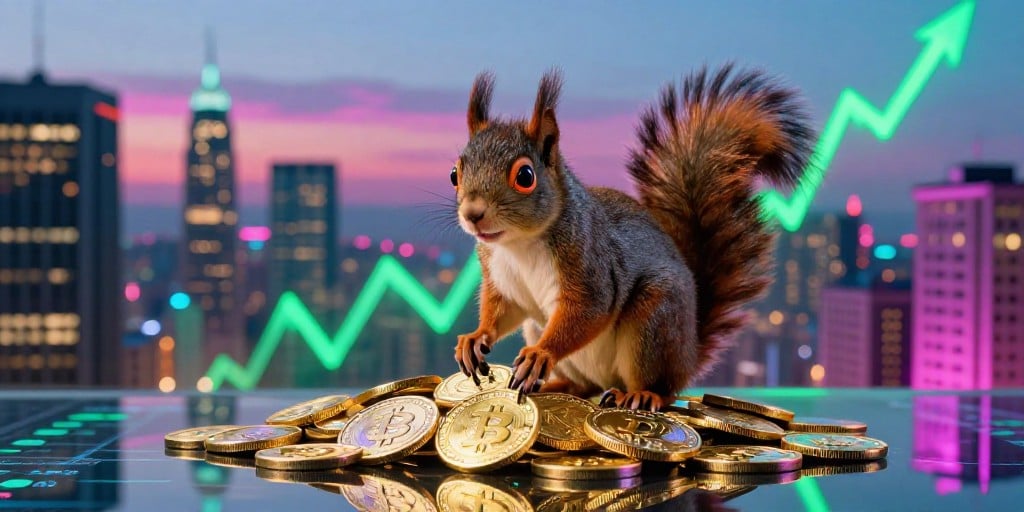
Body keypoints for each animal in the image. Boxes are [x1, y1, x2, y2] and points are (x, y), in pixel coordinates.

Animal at [451, 64, 815, 411]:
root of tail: (690, 353)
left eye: (525, 176)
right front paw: (475, 338)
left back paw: (641, 395)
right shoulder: (499, 274)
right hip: (542, 327)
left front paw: (542, 354)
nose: (473, 214)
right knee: (585, 385)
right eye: (455, 173)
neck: (519, 243)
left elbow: (588, 311)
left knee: (663, 387)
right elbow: (503, 309)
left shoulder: (589, 263)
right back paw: (559, 386)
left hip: (653, 322)